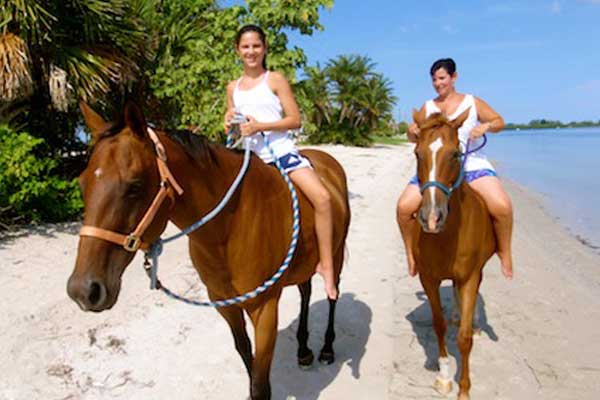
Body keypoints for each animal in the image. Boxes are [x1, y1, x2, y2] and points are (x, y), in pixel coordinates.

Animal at [67, 101, 350, 398]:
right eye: (82, 184)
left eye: (135, 185)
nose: (83, 290)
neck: (227, 229)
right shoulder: (224, 304)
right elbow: (245, 354)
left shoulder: (265, 309)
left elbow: (261, 383)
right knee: (306, 291)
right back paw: (304, 350)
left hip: (335, 255)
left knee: (332, 294)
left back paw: (327, 349)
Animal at [410, 110, 494, 400]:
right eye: (417, 153)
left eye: (455, 154)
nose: (432, 218)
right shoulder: (429, 279)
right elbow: (440, 325)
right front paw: (445, 377)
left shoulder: (469, 277)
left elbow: (464, 338)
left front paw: (464, 389)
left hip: (477, 272)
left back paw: (475, 322)